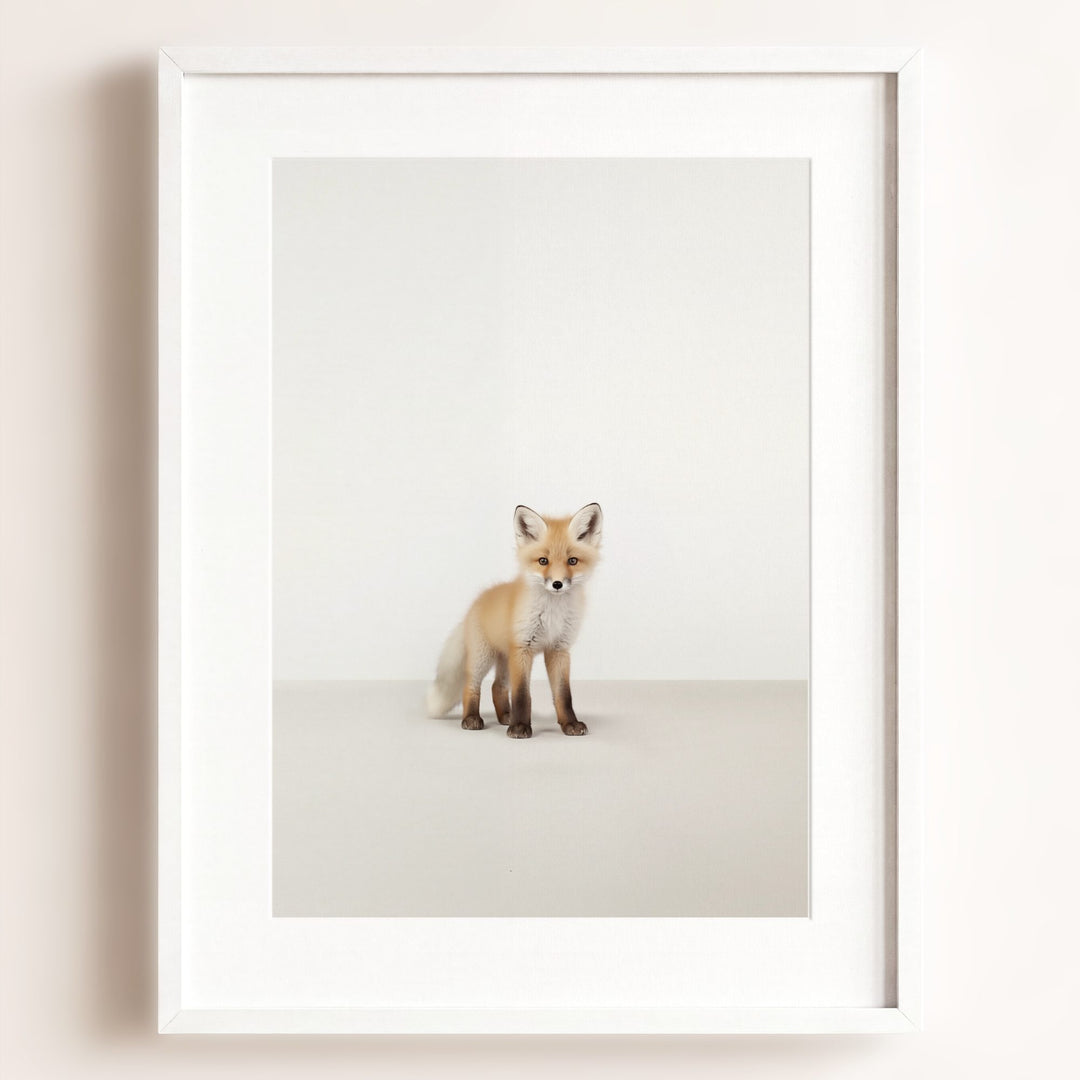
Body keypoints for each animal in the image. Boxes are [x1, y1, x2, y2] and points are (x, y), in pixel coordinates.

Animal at [426, 502, 603, 739]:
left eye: (572, 561)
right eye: (543, 561)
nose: (557, 584)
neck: (552, 613)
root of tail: (477, 601)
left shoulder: (559, 649)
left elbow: (563, 695)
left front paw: (569, 724)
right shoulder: (523, 648)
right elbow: (521, 695)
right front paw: (520, 727)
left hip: (505, 659)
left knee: (497, 687)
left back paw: (505, 716)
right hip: (483, 657)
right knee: (470, 685)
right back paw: (471, 718)